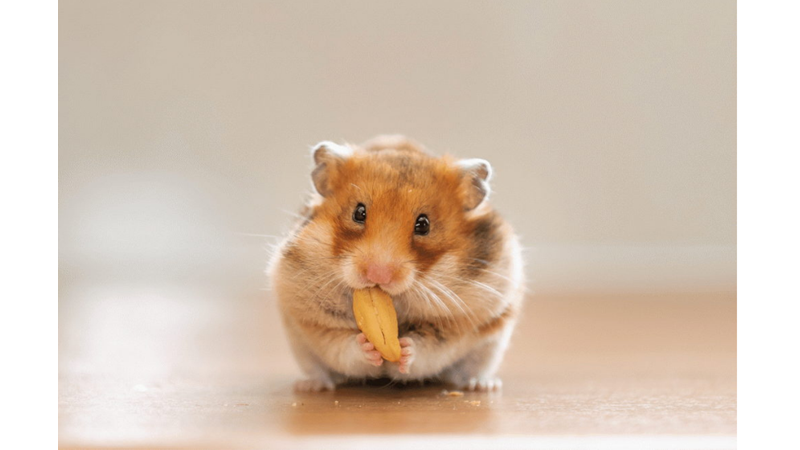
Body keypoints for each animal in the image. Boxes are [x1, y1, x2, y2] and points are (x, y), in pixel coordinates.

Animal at [268, 135, 525, 392]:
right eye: (358, 213)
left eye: (424, 224)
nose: (377, 276)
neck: (396, 302)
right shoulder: (312, 319)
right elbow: (343, 345)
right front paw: (367, 347)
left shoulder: (460, 322)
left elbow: (429, 348)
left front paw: (405, 350)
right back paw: (309, 386)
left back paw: (482, 385)